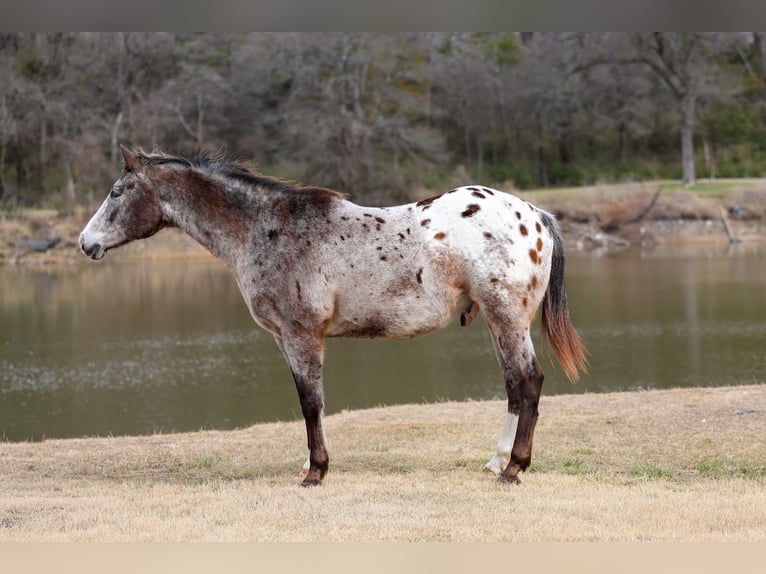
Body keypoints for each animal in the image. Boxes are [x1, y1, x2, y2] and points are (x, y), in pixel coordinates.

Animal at [79, 146, 587, 486]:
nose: (86, 243)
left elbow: (311, 402)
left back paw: (514, 468)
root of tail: (535, 214)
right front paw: (310, 463)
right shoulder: (285, 339)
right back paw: (498, 460)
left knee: (528, 382)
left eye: (116, 192)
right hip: (499, 323)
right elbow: (310, 404)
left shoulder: (302, 335)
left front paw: (316, 472)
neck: (267, 229)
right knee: (514, 386)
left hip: (507, 318)